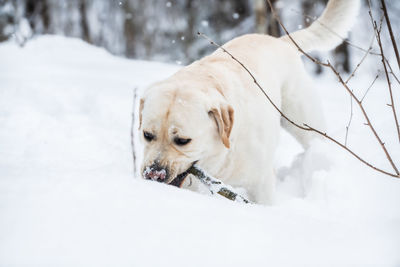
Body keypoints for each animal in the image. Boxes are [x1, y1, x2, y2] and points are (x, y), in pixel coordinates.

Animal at [138, 0, 360, 204]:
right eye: (147, 135)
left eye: (183, 141)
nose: (153, 174)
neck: (221, 156)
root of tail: (281, 41)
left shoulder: (261, 182)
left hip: (304, 122)